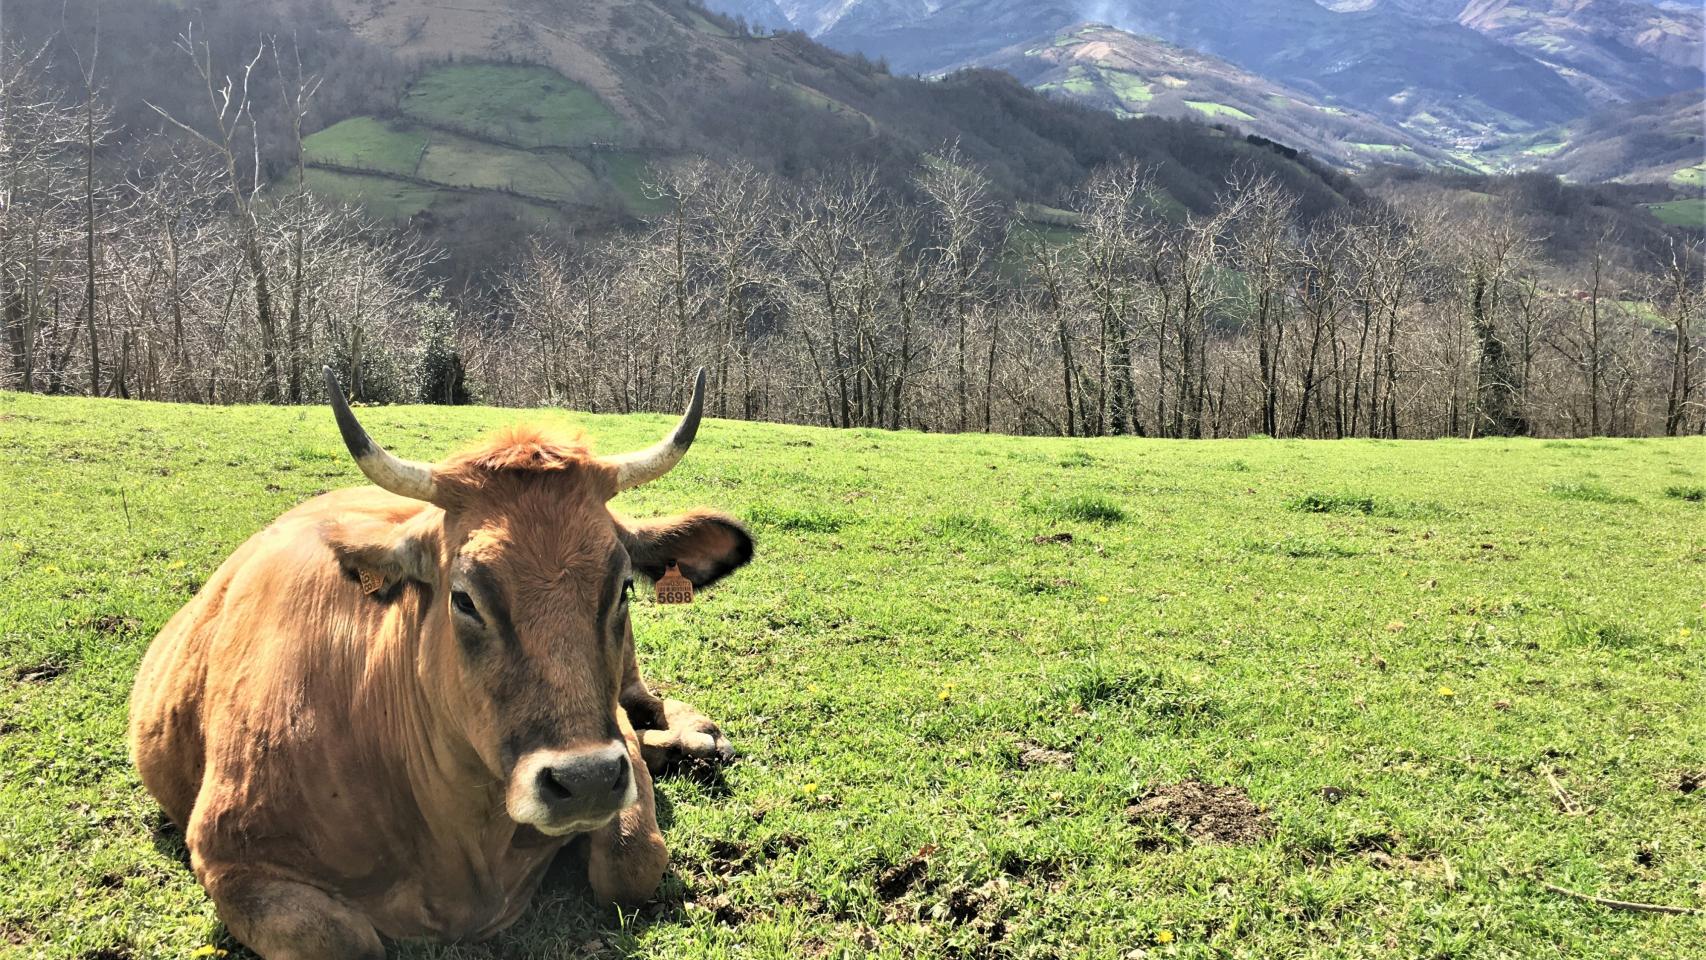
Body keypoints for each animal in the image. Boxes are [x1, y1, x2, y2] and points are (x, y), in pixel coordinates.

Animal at [126, 364, 754, 954]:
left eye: (622, 587)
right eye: (464, 598)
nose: (587, 781)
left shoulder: (616, 753)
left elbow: (629, 861)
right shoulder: (229, 859)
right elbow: (345, 939)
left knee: (643, 701)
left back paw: (698, 737)